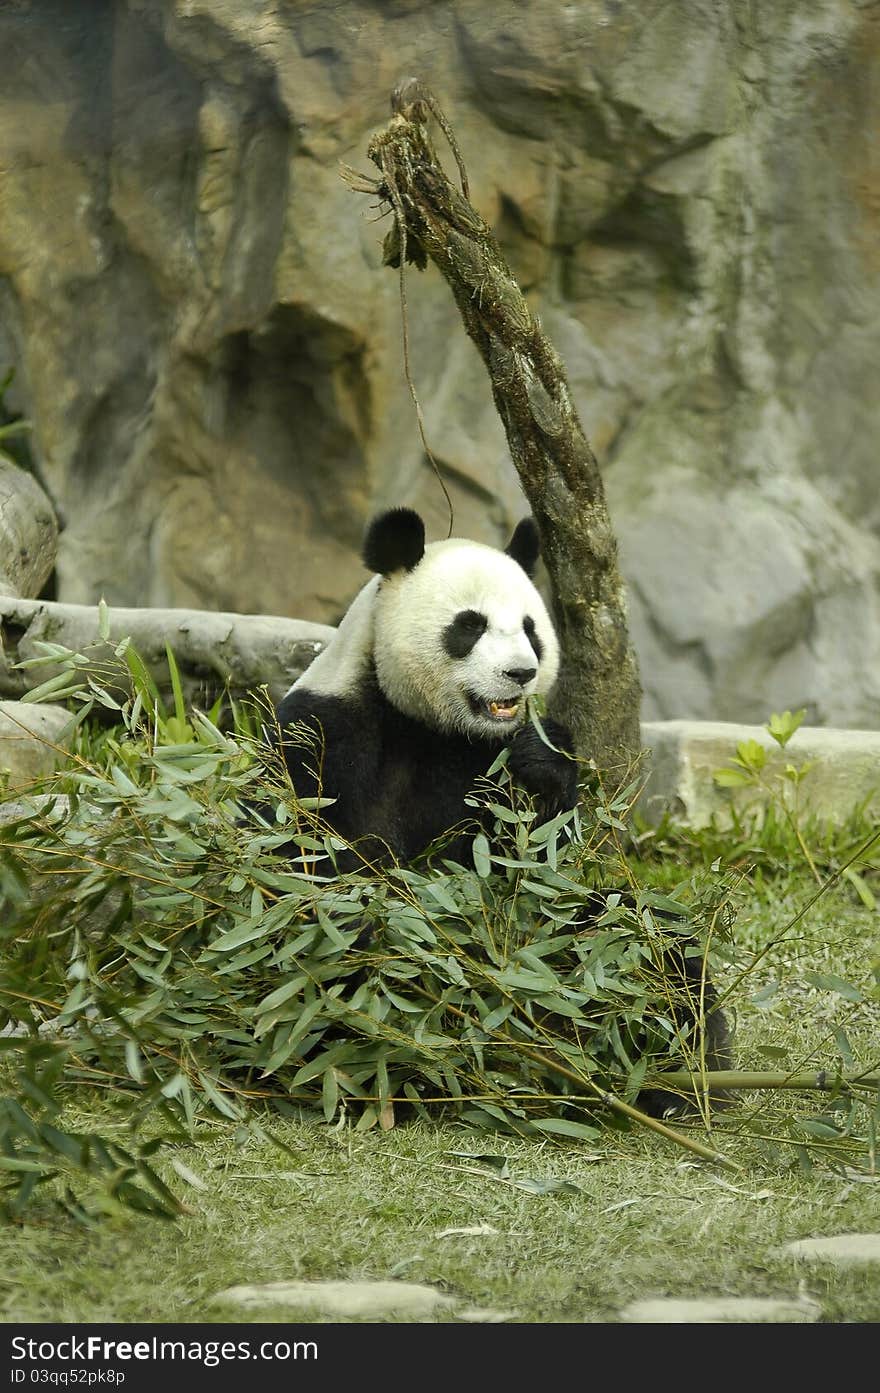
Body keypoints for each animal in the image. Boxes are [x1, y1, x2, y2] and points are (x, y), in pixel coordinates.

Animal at [275, 507, 576, 863]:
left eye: (530, 630)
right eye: (471, 625)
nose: (520, 672)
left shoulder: (489, 759)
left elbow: (537, 850)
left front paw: (542, 756)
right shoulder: (322, 731)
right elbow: (304, 840)